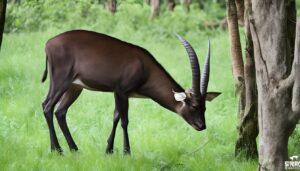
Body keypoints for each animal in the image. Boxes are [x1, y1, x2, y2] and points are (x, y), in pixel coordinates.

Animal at [41, 30, 220, 154]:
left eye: (204, 107)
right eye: (194, 105)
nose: (202, 125)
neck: (145, 67)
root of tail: (49, 43)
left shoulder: (118, 93)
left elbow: (115, 117)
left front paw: (109, 150)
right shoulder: (122, 91)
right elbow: (124, 121)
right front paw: (127, 152)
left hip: (74, 87)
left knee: (60, 111)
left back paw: (73, 149)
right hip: (60, 81)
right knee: (47, 106)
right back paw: (57, 150)